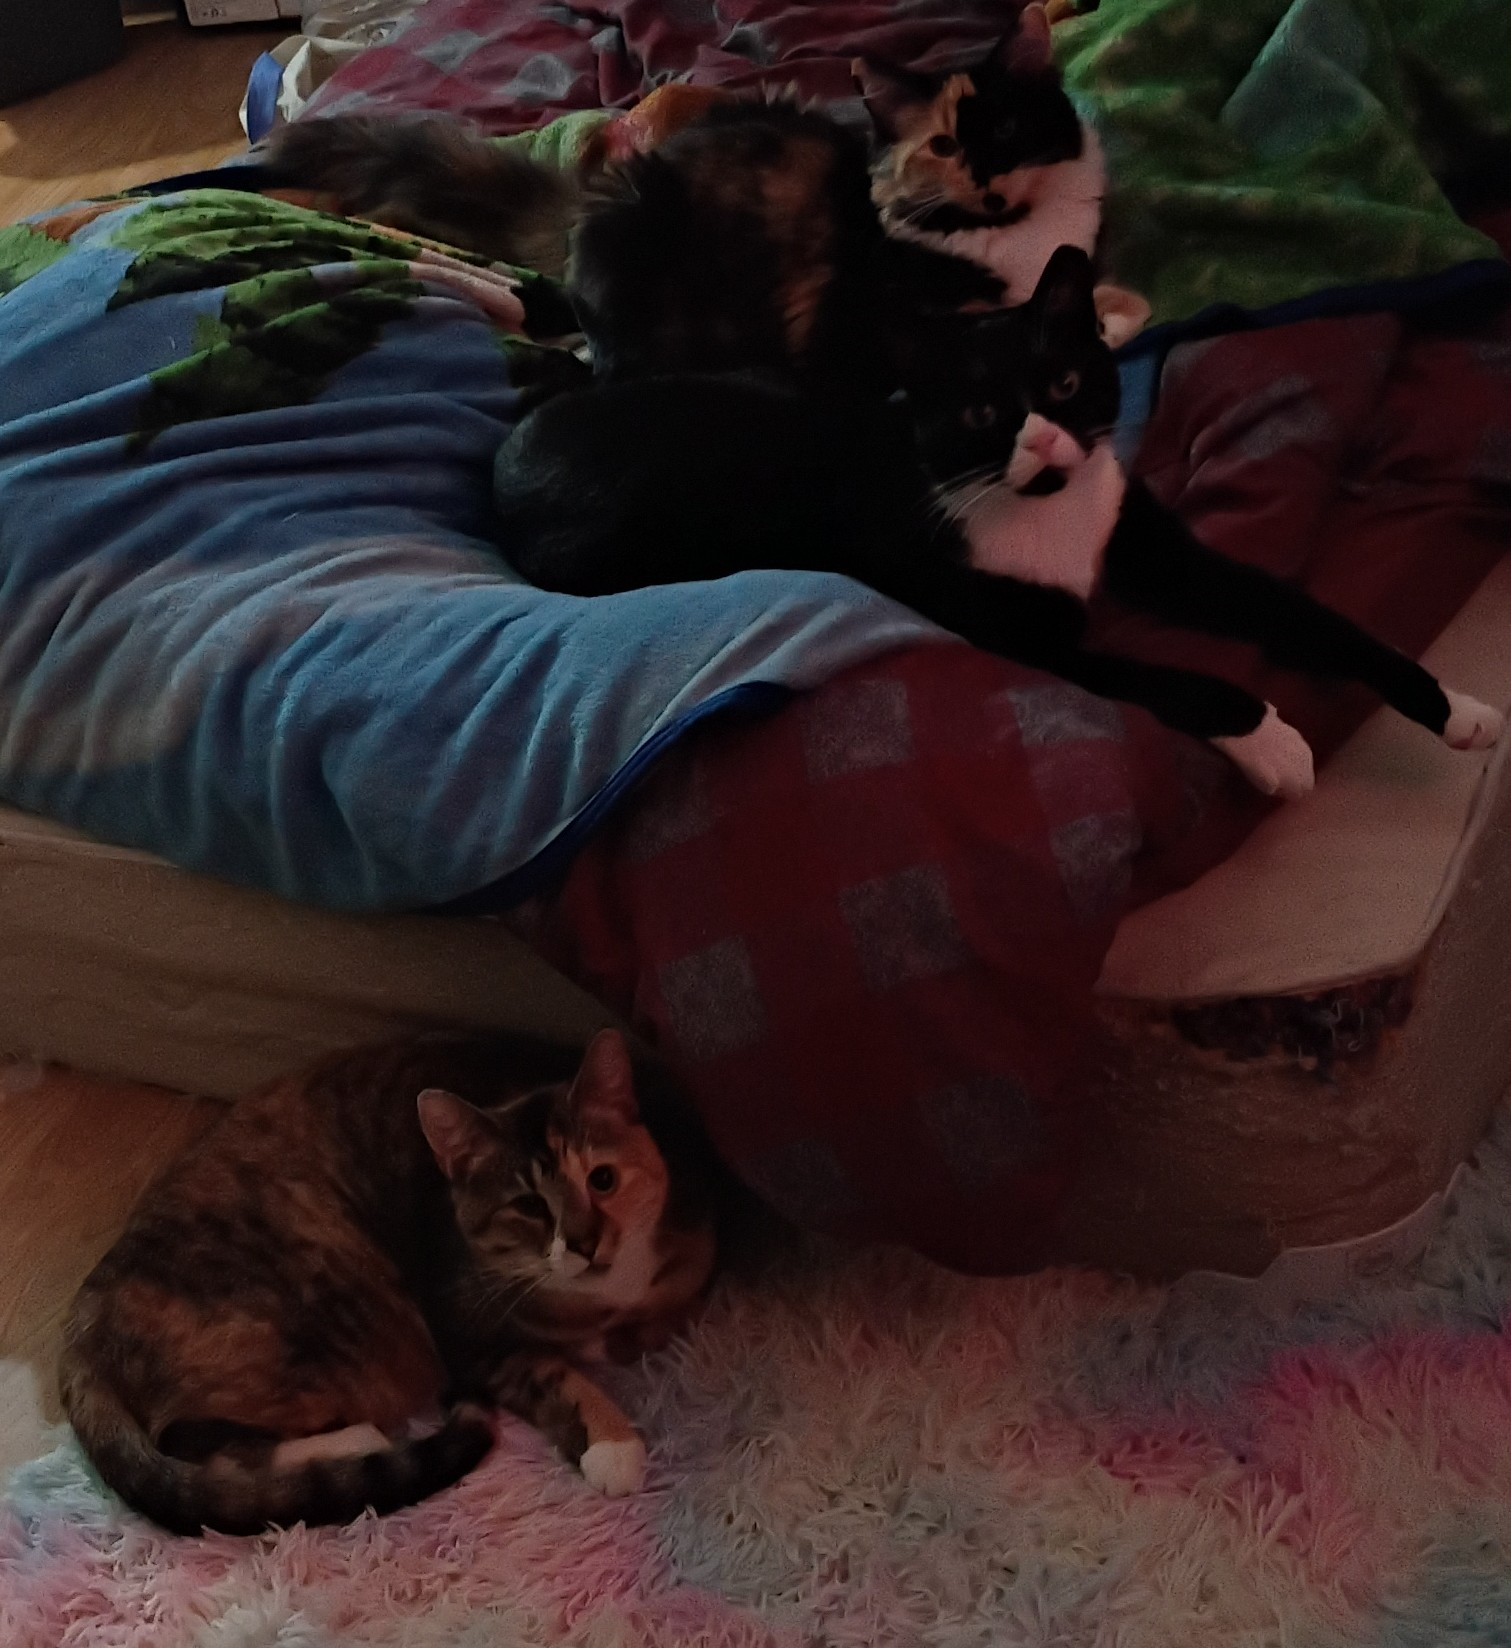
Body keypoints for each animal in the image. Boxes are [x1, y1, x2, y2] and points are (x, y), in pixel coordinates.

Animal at [59, 1029, 719, 1535]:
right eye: (529, 1206)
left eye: (603, 1179)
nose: (583, 1243)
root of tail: (87, 1312)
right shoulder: (469, 1338)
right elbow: (556, 1373)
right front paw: (613, 1444)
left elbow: (662, 1316)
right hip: (320, 1309)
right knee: (196, 1439)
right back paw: (355, 1441)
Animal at [494, 244, 1501, 796]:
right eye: (980, 414)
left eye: (1063, 381)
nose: (1046, 438)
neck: (1047, 519)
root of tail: (516, 446)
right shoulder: (1027, 639)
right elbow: (1170, 676)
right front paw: (1271, 742)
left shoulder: (1158, 551)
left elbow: (1308, 616)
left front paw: (1457, 709)